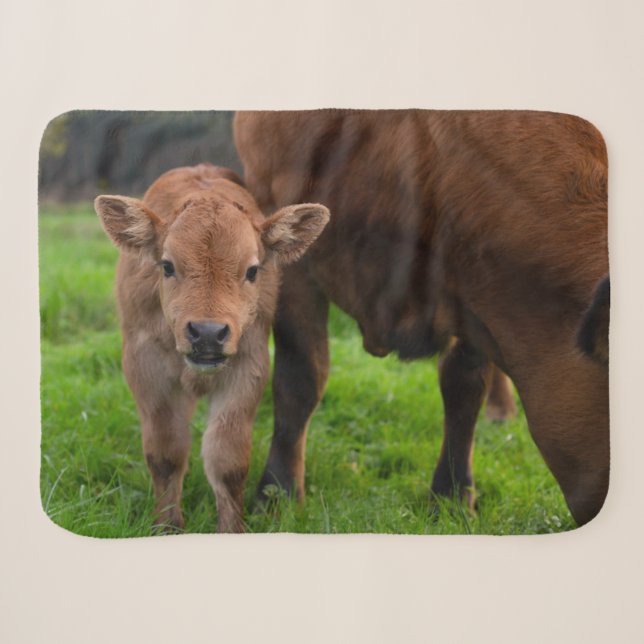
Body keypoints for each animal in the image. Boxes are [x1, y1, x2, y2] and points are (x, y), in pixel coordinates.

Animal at [94, 164, 329, 532]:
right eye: (167, 266)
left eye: (252, 270)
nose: (207, 333)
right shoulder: (146, 369)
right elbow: (166, 454)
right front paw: (167, 527)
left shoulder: (248, 368)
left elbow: (228, 461)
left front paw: (232, 529)